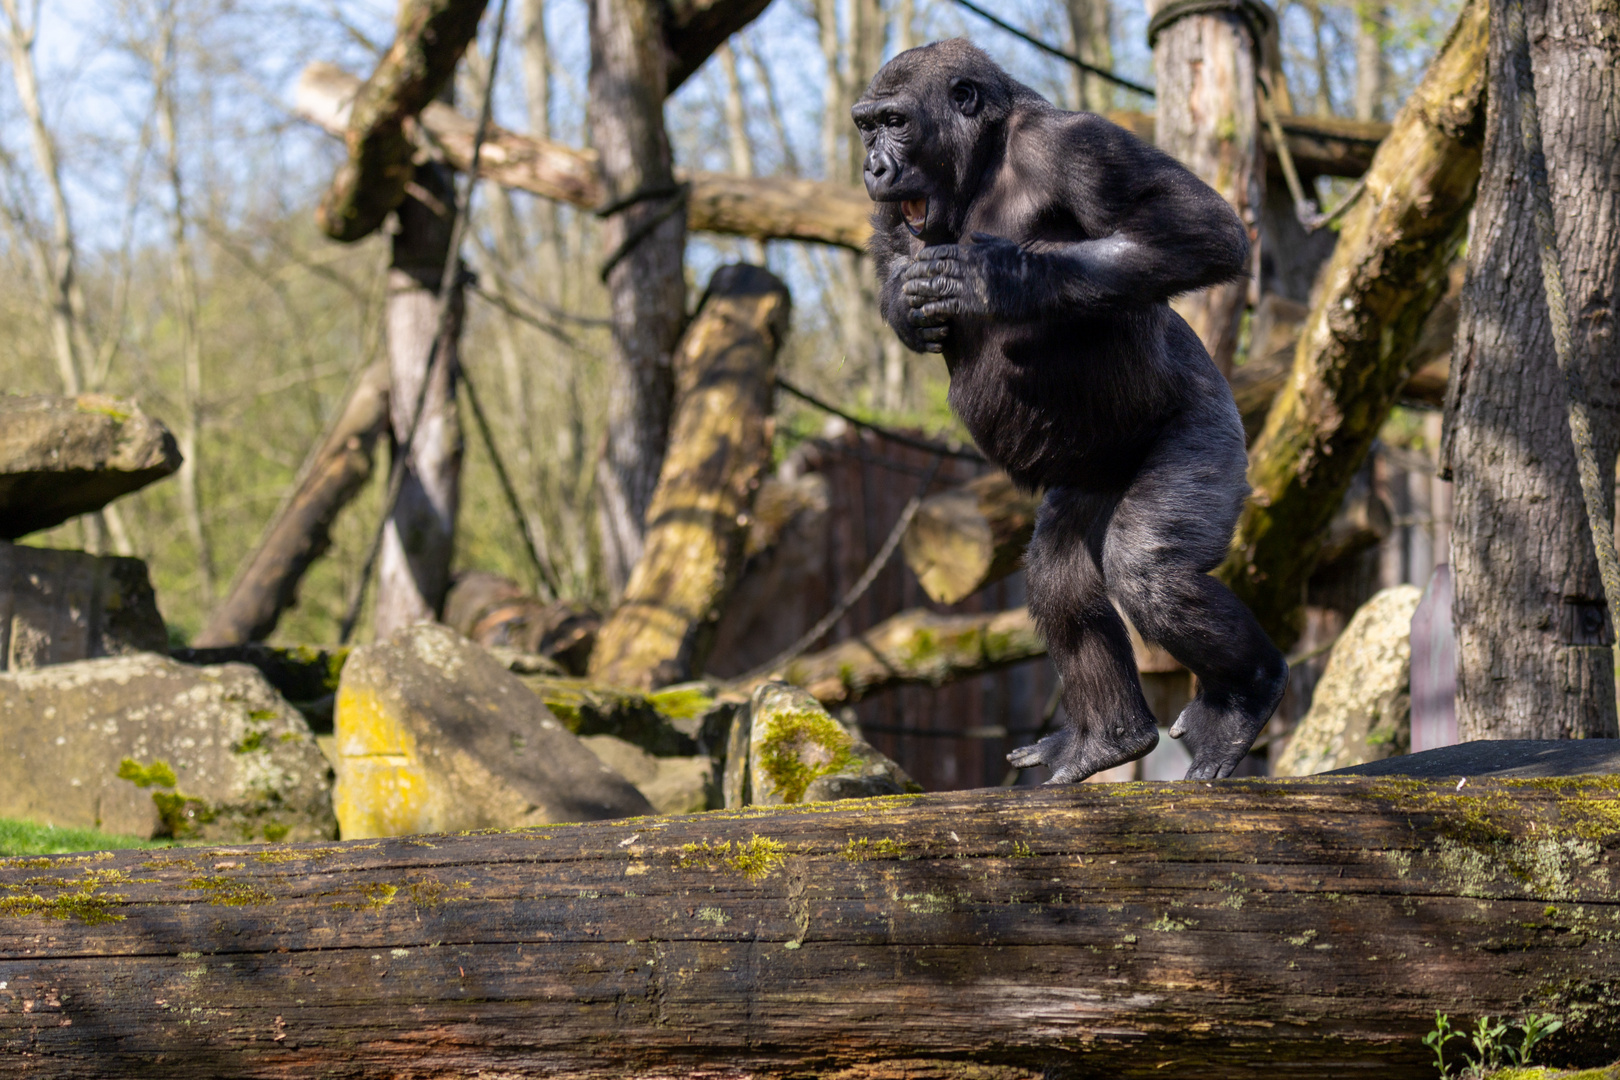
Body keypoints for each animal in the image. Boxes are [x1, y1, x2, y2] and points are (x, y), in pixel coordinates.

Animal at [855, 38, 1283, 780]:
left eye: (897, 122)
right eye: (867, 125)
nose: (874, 163)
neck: (983, 165)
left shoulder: (1078, 147)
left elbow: (1197, 224)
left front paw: (998, 277)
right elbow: (889, 249)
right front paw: (907, 306)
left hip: (1208, 436)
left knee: (1149, 568)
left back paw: (1244, 698)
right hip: (1089, 477)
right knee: (1057, 570)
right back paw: (1108, 737)